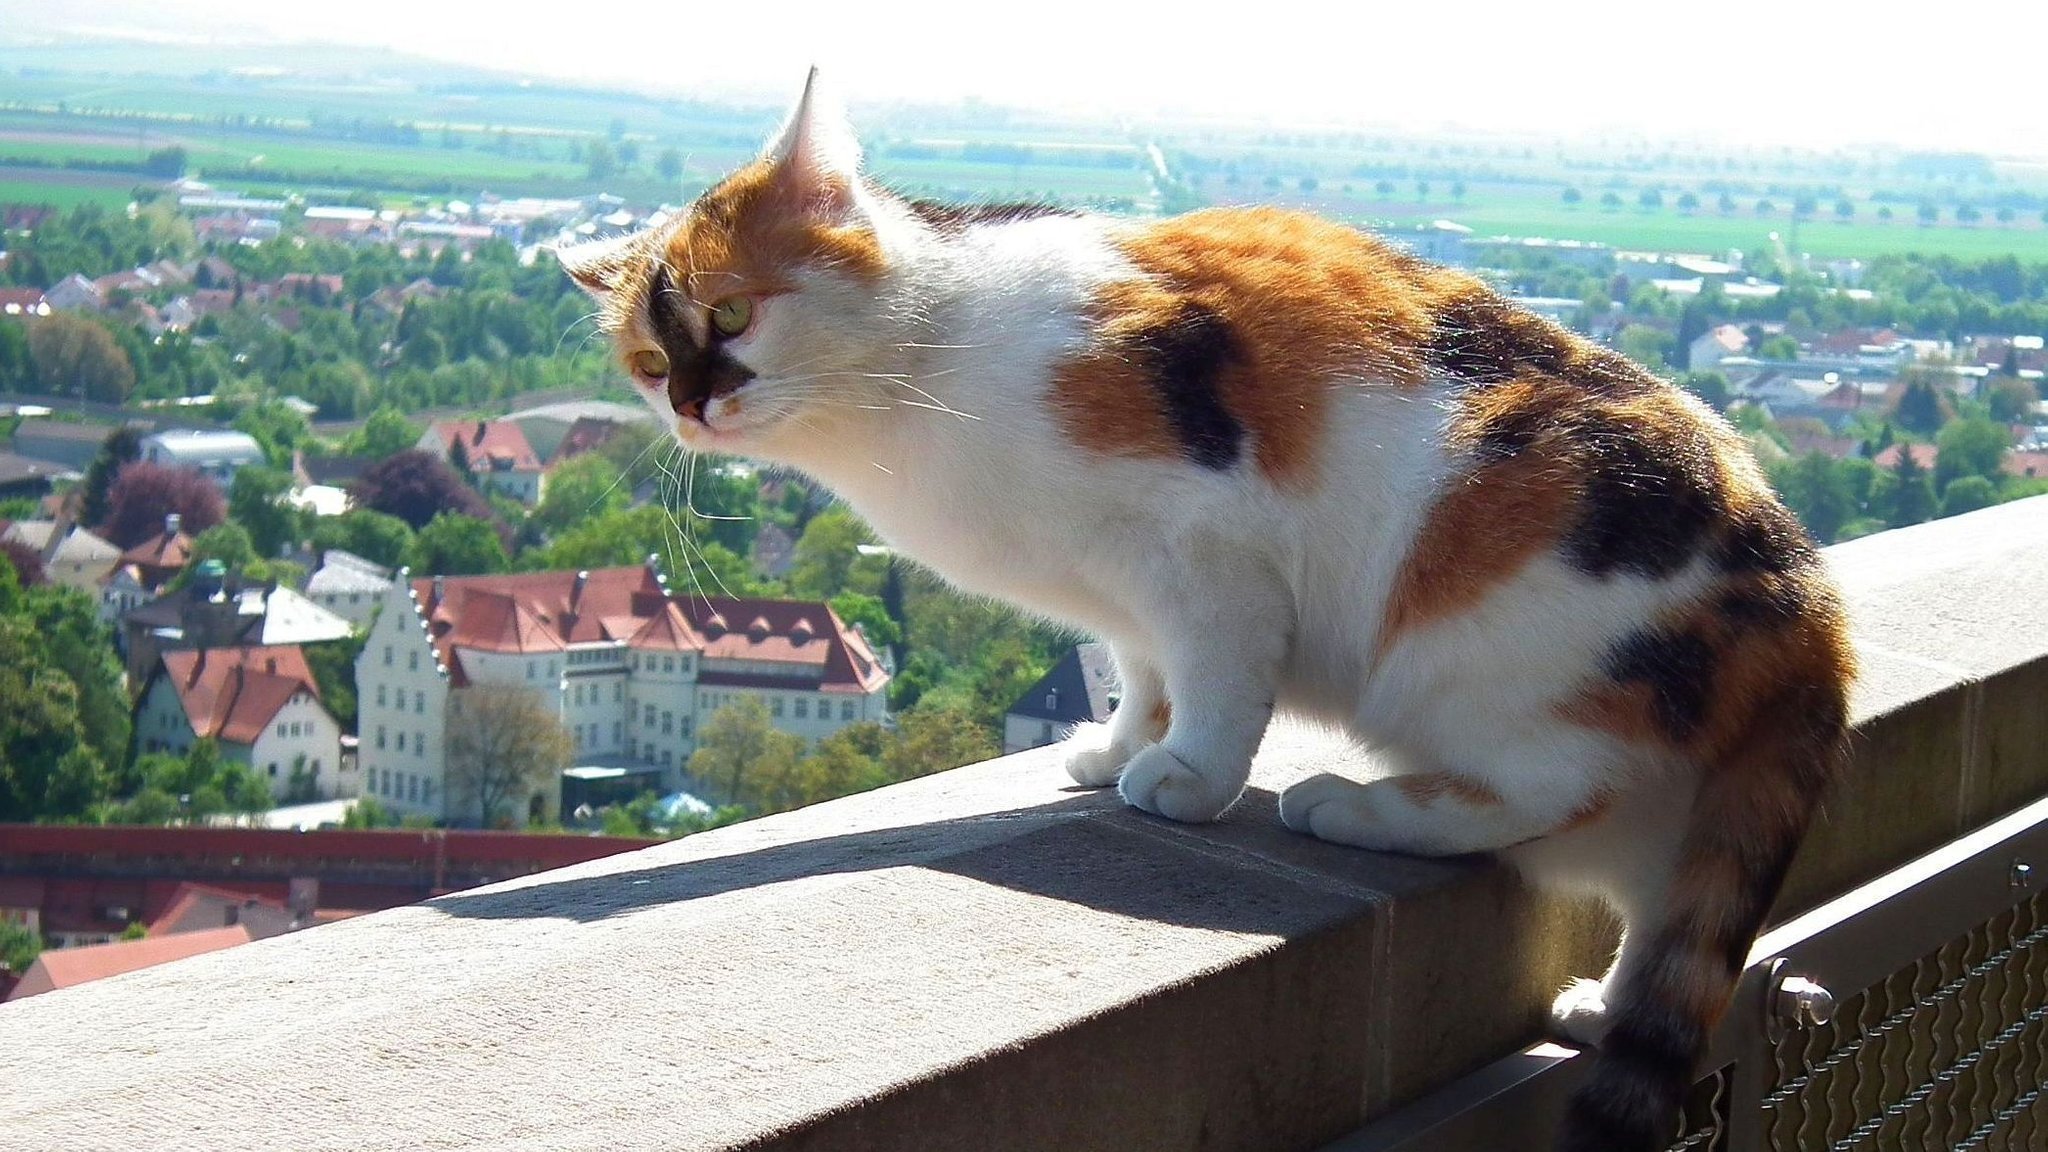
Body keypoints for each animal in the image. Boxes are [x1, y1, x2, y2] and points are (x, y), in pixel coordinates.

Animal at [557, 73, 1859, 1147]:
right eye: (645, 361)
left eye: (731, 315)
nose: (690, 402)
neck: (917, 377)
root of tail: (1806, 606)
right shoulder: (1124, 592)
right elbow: (1143, 667)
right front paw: (1117, 746)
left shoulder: (1207, 543)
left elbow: (1220, 678)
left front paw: (1187, 777)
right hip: (1653, 807)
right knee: (1656, 903)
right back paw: (1601, 1004)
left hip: (1477, 642)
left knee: (1548, 786)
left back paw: (1357, 806)